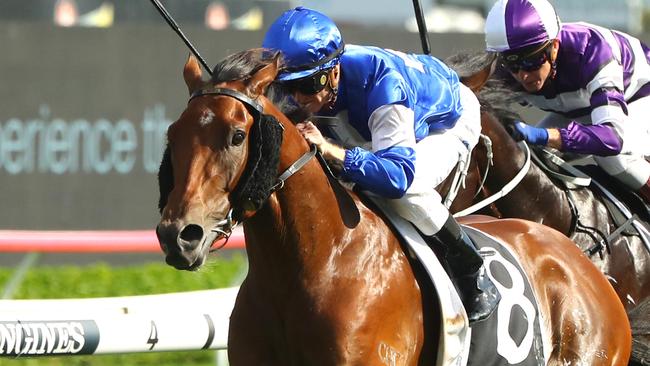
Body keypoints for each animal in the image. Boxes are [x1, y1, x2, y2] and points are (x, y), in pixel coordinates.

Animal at [153, 50, 628, 366]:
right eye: (173, 136)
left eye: (236, 136)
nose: (180, 235)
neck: (317, 264)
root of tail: (581, 261)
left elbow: (399, 173)